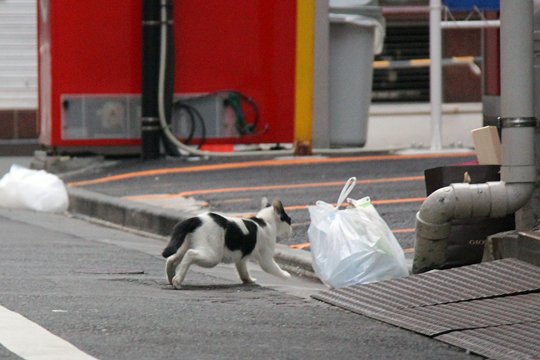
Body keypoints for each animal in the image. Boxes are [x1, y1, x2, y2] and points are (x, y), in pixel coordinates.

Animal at [162, 198, 294, 288]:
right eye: (290, 220)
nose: (292, 231)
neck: (264, 221)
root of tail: (197, 219)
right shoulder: (266, 258)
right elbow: (274, 268)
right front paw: (286, 275)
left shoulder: (241, 258)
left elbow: (243, 271)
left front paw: (248, 280)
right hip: (213, 256)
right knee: (189, 254)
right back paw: (177, 281)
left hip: (183, 246)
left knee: (172, 259)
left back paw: (171, 278)